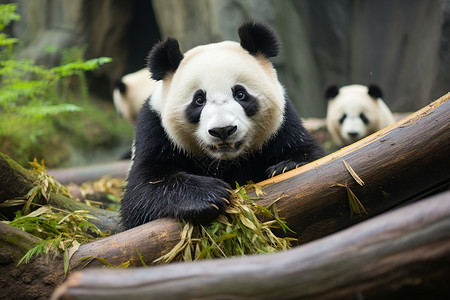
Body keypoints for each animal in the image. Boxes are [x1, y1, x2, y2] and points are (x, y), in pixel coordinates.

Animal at [119, 21, 324, 230]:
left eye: (240, 94)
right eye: (199, 100)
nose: (223, 130)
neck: (225, 161)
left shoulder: (283, 122)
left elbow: (309, 152)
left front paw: (286, 166)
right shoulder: (154, 129)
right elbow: (141, 191)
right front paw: (209, 195)